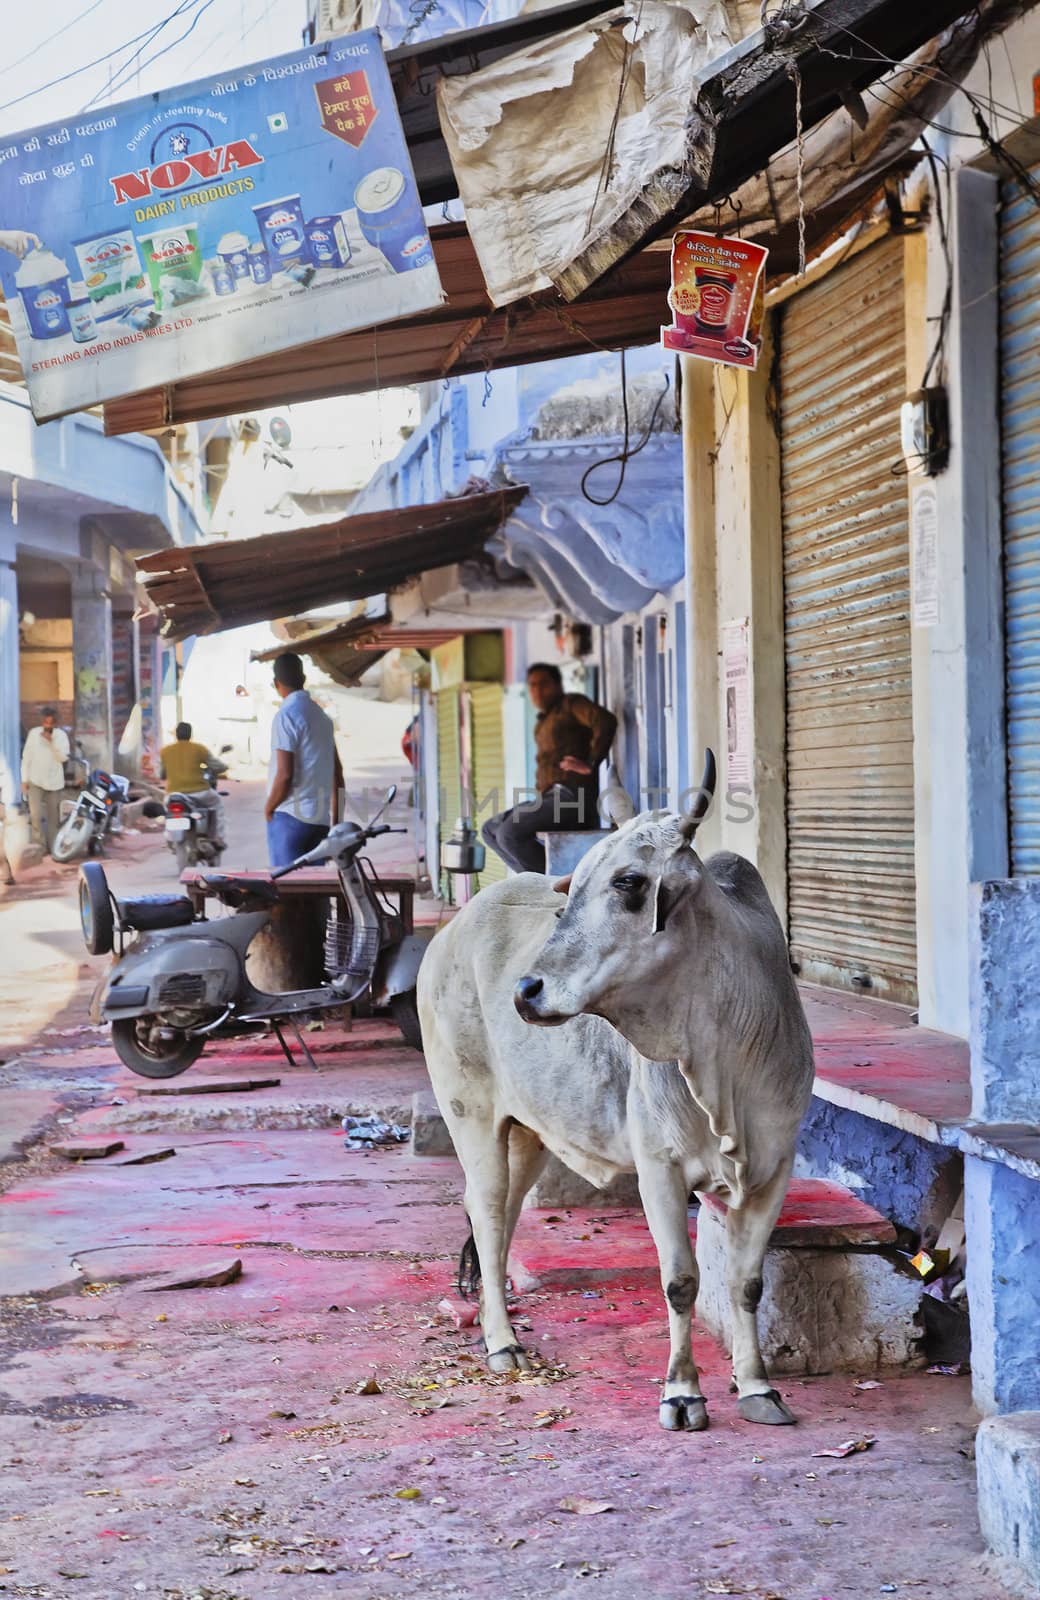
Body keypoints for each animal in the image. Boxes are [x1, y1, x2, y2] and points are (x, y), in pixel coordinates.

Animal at [416, 755, 812, 1433]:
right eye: (571, 889)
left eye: (629, 882)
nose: (526, 991)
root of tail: (450, 931)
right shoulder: (661, 1168)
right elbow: (680, 1281)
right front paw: (682, 1393)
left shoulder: (772, 1168)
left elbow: (746, 1283)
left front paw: (757, 1385)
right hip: (472, 1118)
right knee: (487, 1215)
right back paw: (501, 1342)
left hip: (530, 1133)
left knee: (504, 1215)